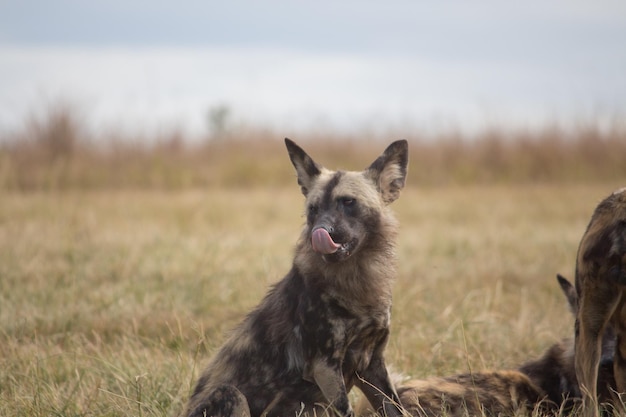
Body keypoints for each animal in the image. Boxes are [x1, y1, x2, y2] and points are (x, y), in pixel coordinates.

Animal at [184, 139, 410, 416]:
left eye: (348, 202)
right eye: (313, 209)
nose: (320, 231)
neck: (355, 278)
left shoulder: (372, 365)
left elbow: (397, 407)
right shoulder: (325, 367)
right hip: (231, 394)